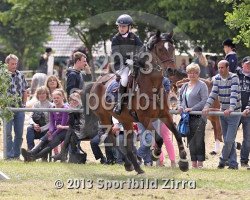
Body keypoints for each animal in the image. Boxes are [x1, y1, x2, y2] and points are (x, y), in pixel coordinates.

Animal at [85, 30, 188, 173]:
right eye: (160, 49)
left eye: (172, 48)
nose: (171, 70)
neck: (152, 87)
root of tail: (96, 83)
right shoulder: (144, 119)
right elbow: (159, 139)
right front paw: (155, 154)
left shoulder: (165, 115)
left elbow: (177, 135)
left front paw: (184, 163)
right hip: (104, 117)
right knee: (112, 138)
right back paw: (129, 164)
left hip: (125, 120)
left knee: (127, 144)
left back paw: (137, 167)